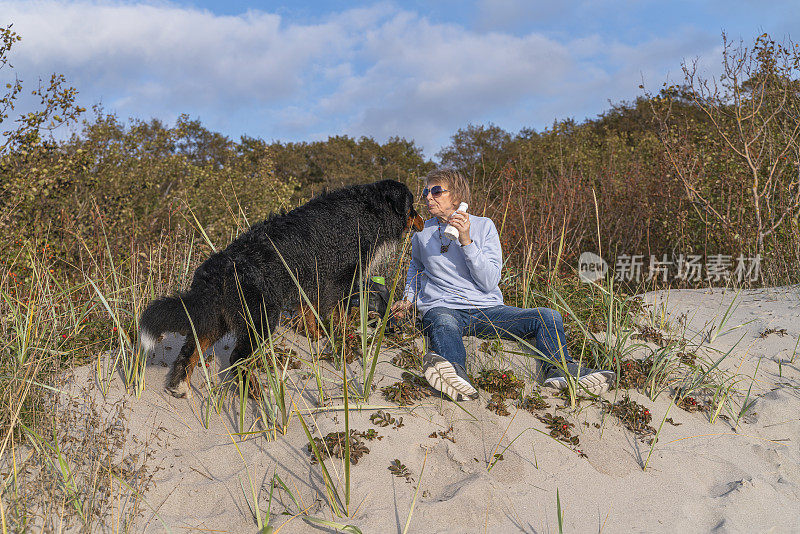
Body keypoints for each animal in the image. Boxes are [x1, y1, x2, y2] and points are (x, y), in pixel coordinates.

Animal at [139, 180, 424, 398]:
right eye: (412, 206)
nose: (423, 220)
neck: (368, 210)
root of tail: (215, 273)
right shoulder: (343, 276)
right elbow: (341, 313)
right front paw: (343, 339)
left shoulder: (312, 279)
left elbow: (310, 310)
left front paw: (316, 335)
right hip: (260, 318)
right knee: (237, 359)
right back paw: (255, 394)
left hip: (216, 319)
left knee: (190, 351)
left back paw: (180, 387)